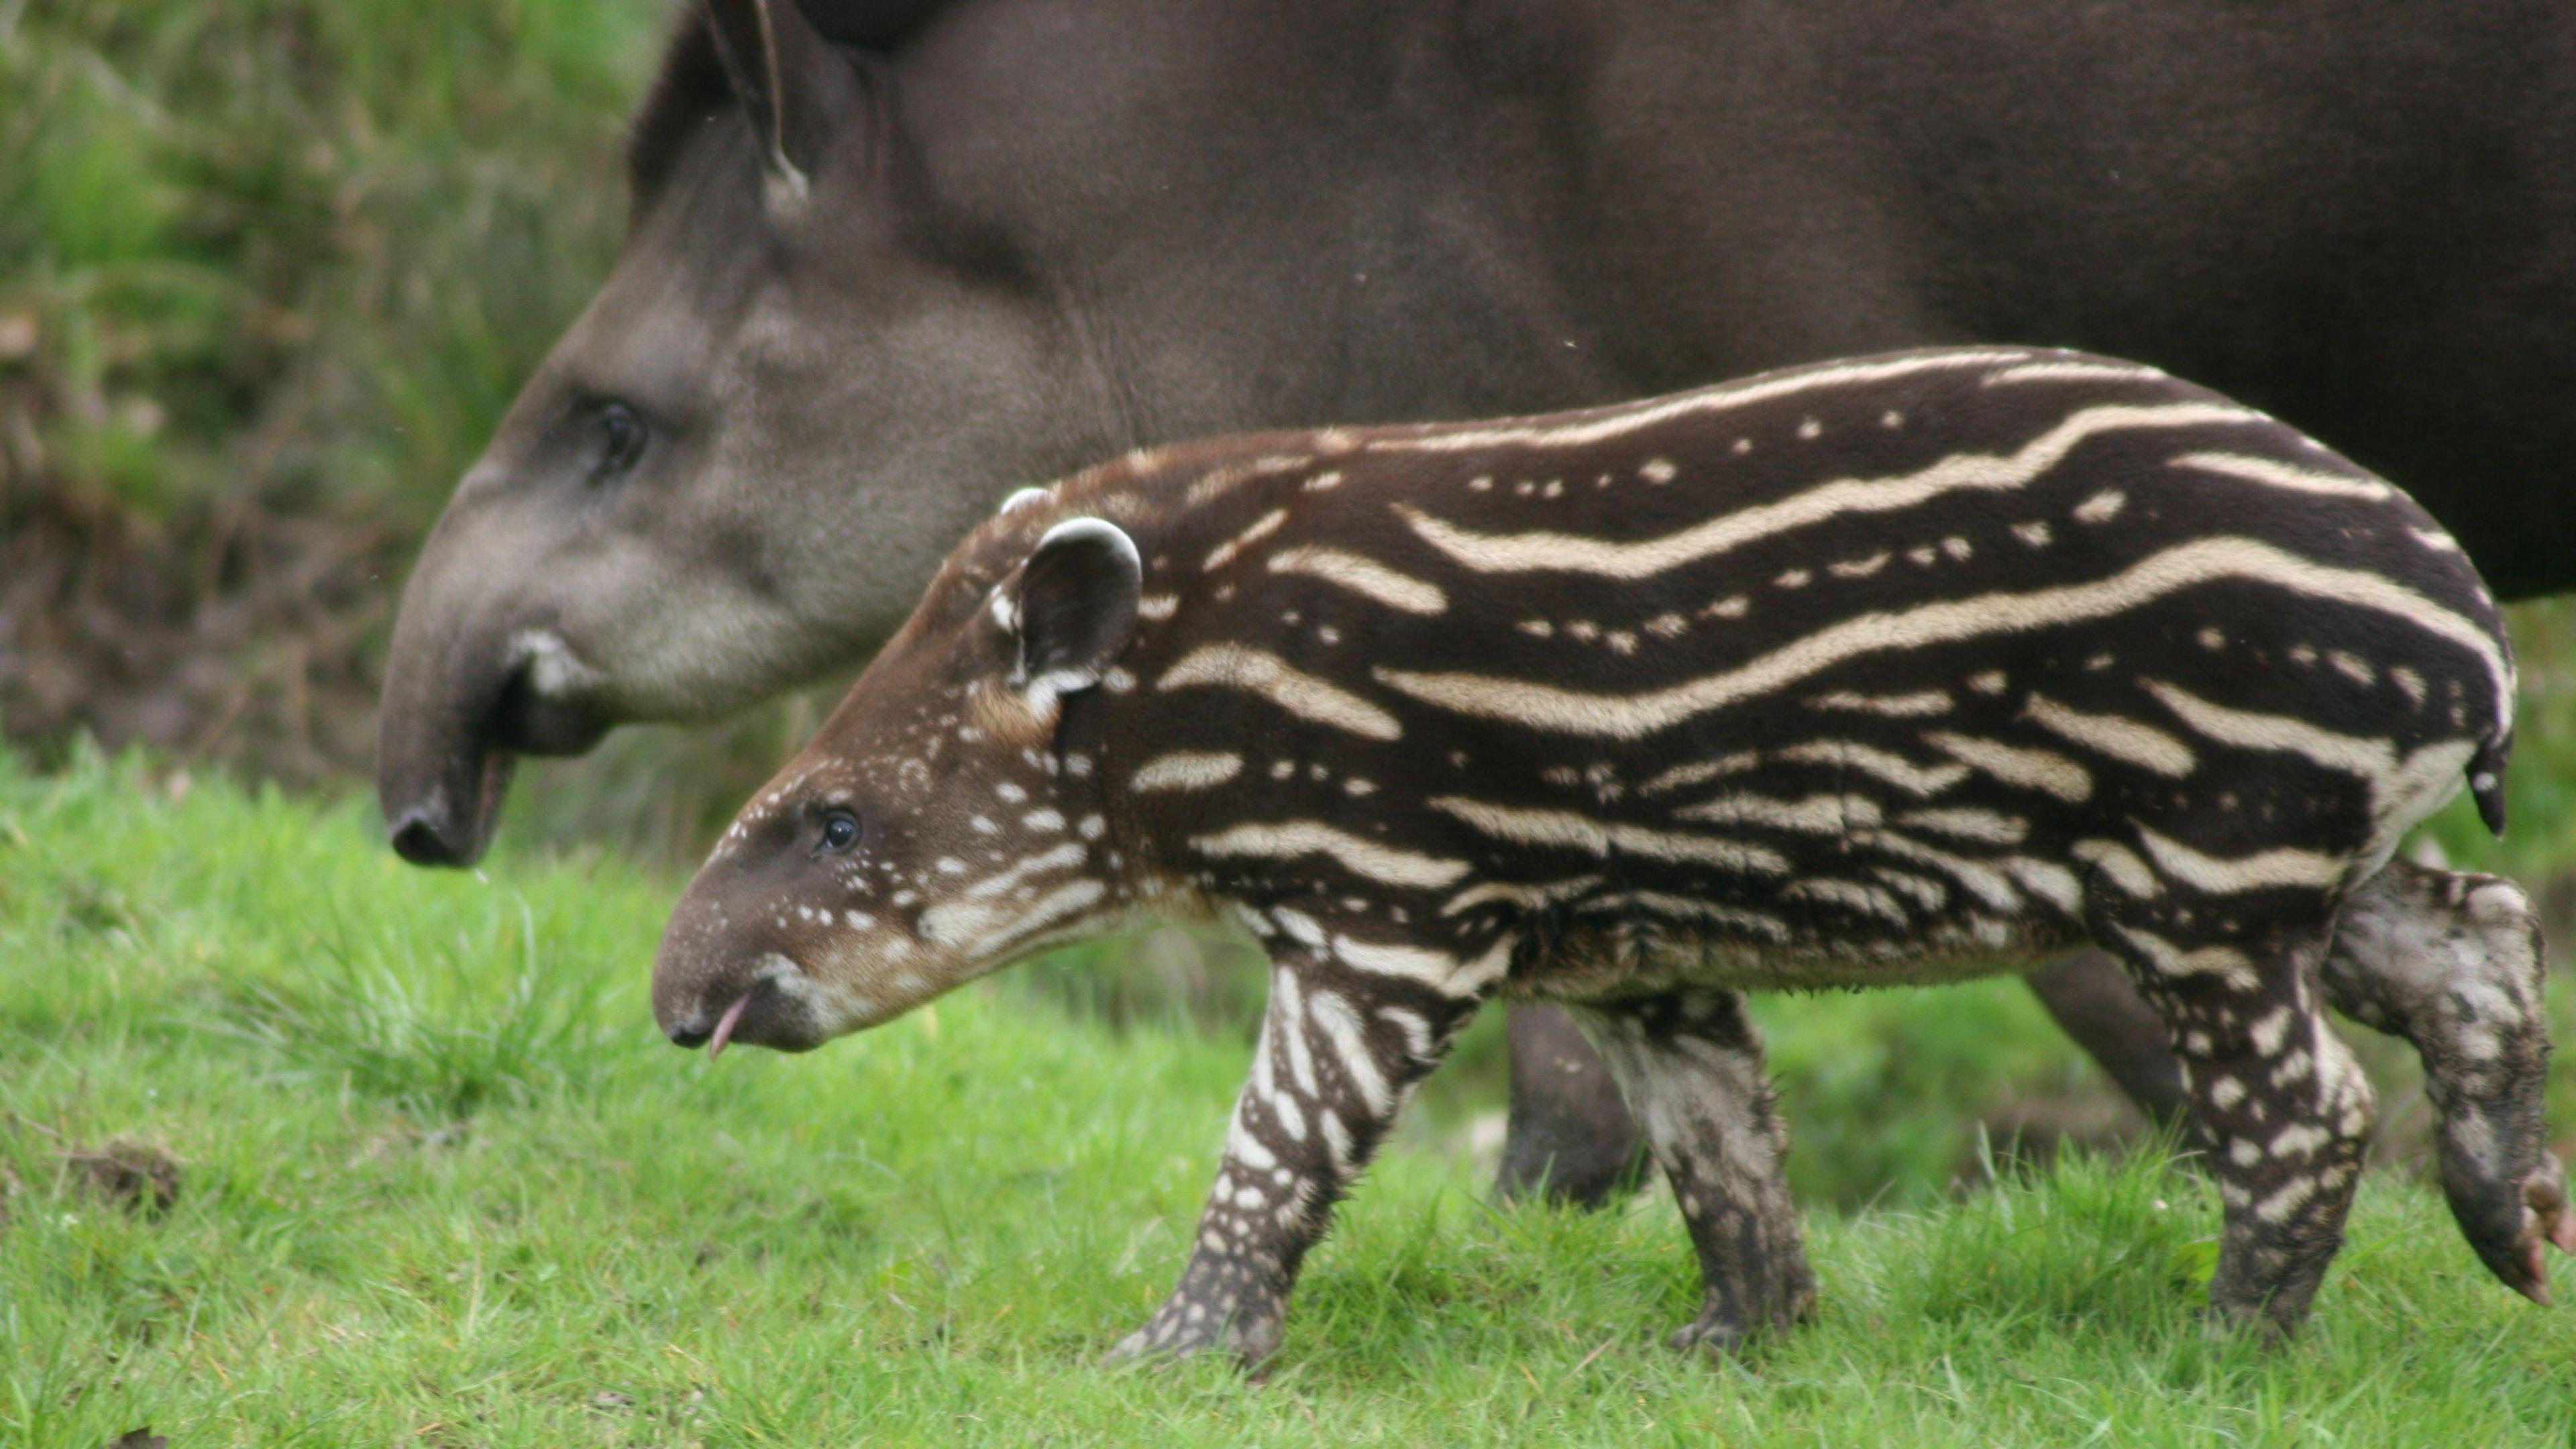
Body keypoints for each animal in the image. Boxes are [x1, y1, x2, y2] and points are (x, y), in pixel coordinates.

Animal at [649, 347, 2576, 1350]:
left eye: (832, 819)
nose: (674, 1005)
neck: (1188, 670)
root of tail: (2474, 629)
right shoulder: (1632, 938)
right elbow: (1722, 1147)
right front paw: (1743, 1346)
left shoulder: (1388, 901)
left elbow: (1279, 1142)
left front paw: (1177, 1350)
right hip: (2286, 852)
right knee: (2476, 936)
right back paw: (2509, 1224)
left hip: (2207, 853)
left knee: (2308, 1110)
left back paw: (2227, 1342)